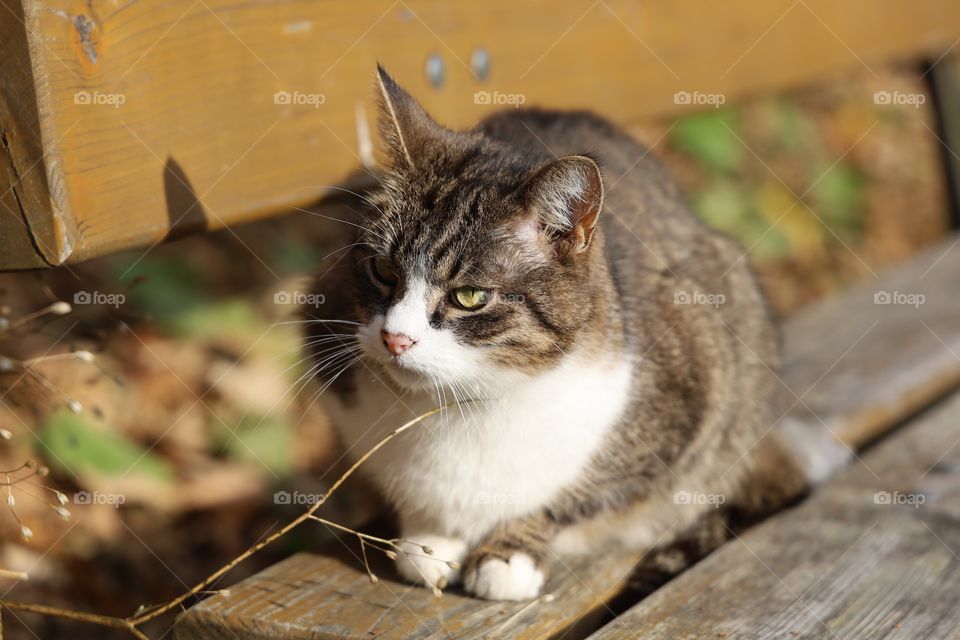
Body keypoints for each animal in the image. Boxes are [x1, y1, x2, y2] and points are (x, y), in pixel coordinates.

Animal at [306, 67, 848, 604]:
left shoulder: (693, 390)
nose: (395, 338)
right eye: (382, 270)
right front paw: (430, 538)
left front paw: (509, 553)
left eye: (469, 296)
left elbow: (567, 499)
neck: (463, 402)